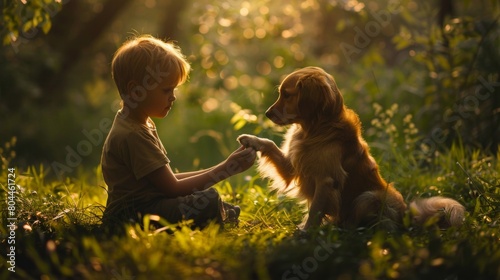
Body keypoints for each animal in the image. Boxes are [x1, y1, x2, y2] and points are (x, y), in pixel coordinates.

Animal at [238, 67, 464, 230]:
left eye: (287, 94)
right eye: (281, 93)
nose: (267, 113)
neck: (316, 129)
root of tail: (407, 214)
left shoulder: (326, 180)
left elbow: (315, 211)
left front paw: (305, 234)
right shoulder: (293, 166)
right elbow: (270, 144)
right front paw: (250, 140)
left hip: (370, 196)